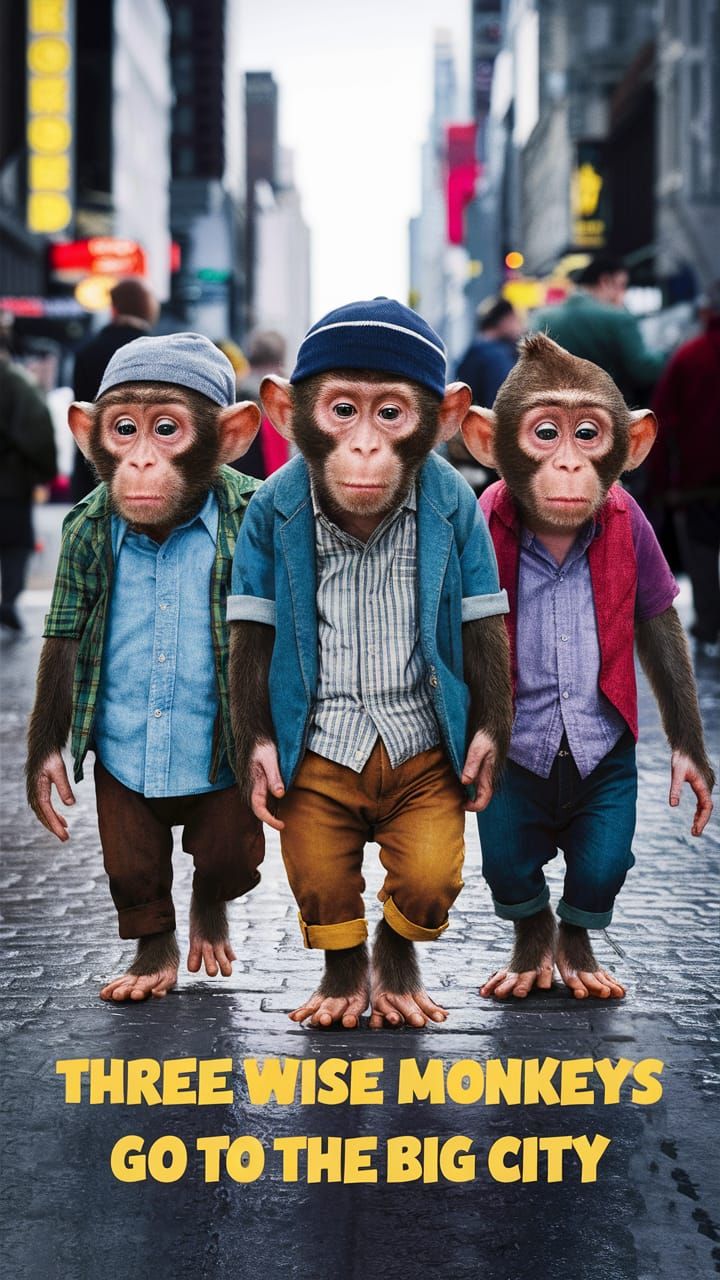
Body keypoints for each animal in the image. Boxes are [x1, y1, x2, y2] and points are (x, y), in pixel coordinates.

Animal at [25, 332, 265, 1001]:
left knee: (224, 856)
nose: (138, 463)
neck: (166, 530)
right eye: (125, 428)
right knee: (135, 853)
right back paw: (152, 961)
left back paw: (208, 915)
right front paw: (44, 772)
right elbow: (67, 627)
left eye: (165, 429)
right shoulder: (80, 533)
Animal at [227, 297, 513, 1028]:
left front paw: (486, 757)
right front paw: (260, 766)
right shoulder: (265, 520)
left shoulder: (462, 510)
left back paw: (394, 980)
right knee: (324, 871)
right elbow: (256, 626)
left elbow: (478, 618)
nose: (363, 446)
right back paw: (343, 985)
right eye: (342, 410)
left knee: (422, 874)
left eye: (389, 413)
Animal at [461, 331, 715, 1000]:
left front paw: (692, 765)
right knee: (513, 862)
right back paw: (532, 953)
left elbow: (655, 622)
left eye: (588, 433)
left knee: (598, 863)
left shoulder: (642, 531)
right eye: (547, 433)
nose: (572, 465)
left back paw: (574, 954)